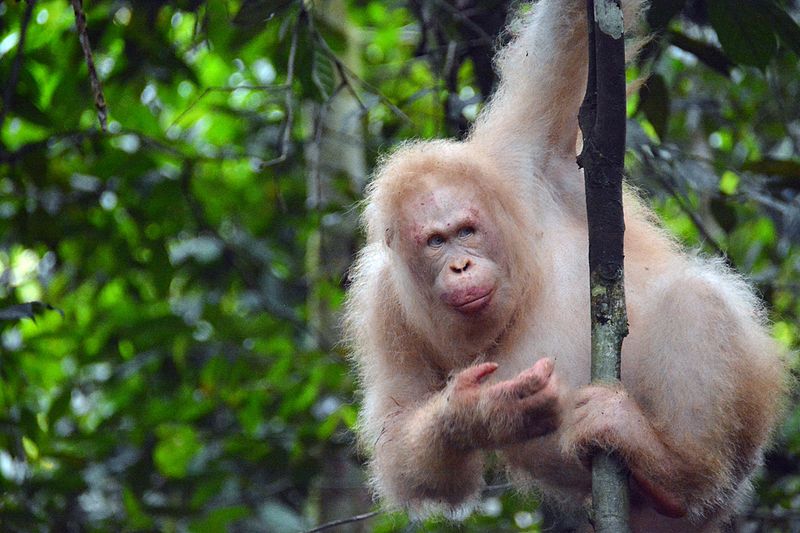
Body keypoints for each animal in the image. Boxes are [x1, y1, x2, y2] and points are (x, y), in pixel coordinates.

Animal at [343, 0, 788, 530]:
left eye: (465, 231)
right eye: (435, 242)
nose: (461, 267)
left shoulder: (521, 156)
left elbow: (568, 33)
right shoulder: (381, 303)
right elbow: (397, 431)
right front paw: (484, 411)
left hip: (750, 414)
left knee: (694, 299)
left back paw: (676, 471)